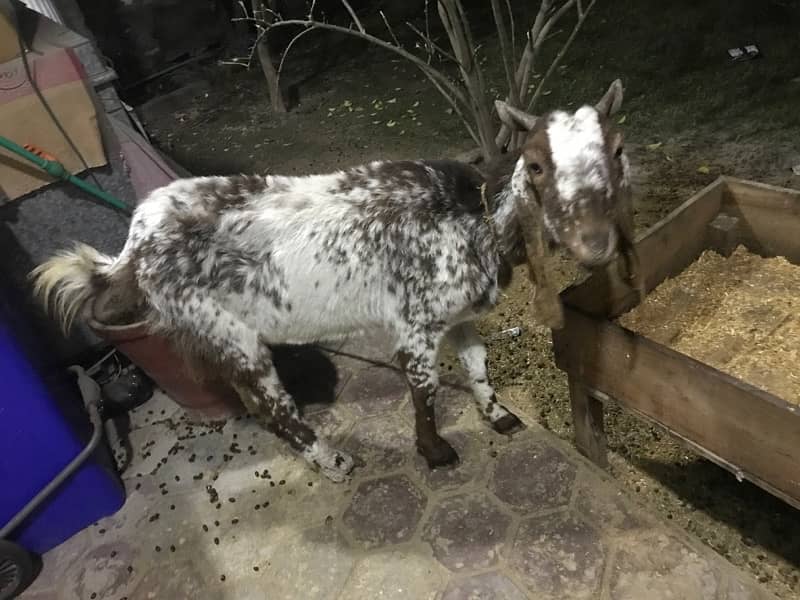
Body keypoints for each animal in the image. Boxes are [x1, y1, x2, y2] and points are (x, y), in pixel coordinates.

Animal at [32, 79, 636, 482]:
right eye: (535, 164)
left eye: (618, 149)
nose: (594, 242)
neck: (474, 218)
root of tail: (133, 247)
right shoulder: (415, 323)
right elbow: (424, 388)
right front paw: (436, 453)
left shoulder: (457, 314)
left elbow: (477, 364)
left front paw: (499, 417)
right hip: (227, 330)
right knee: (269, 404)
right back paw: (334, 460)